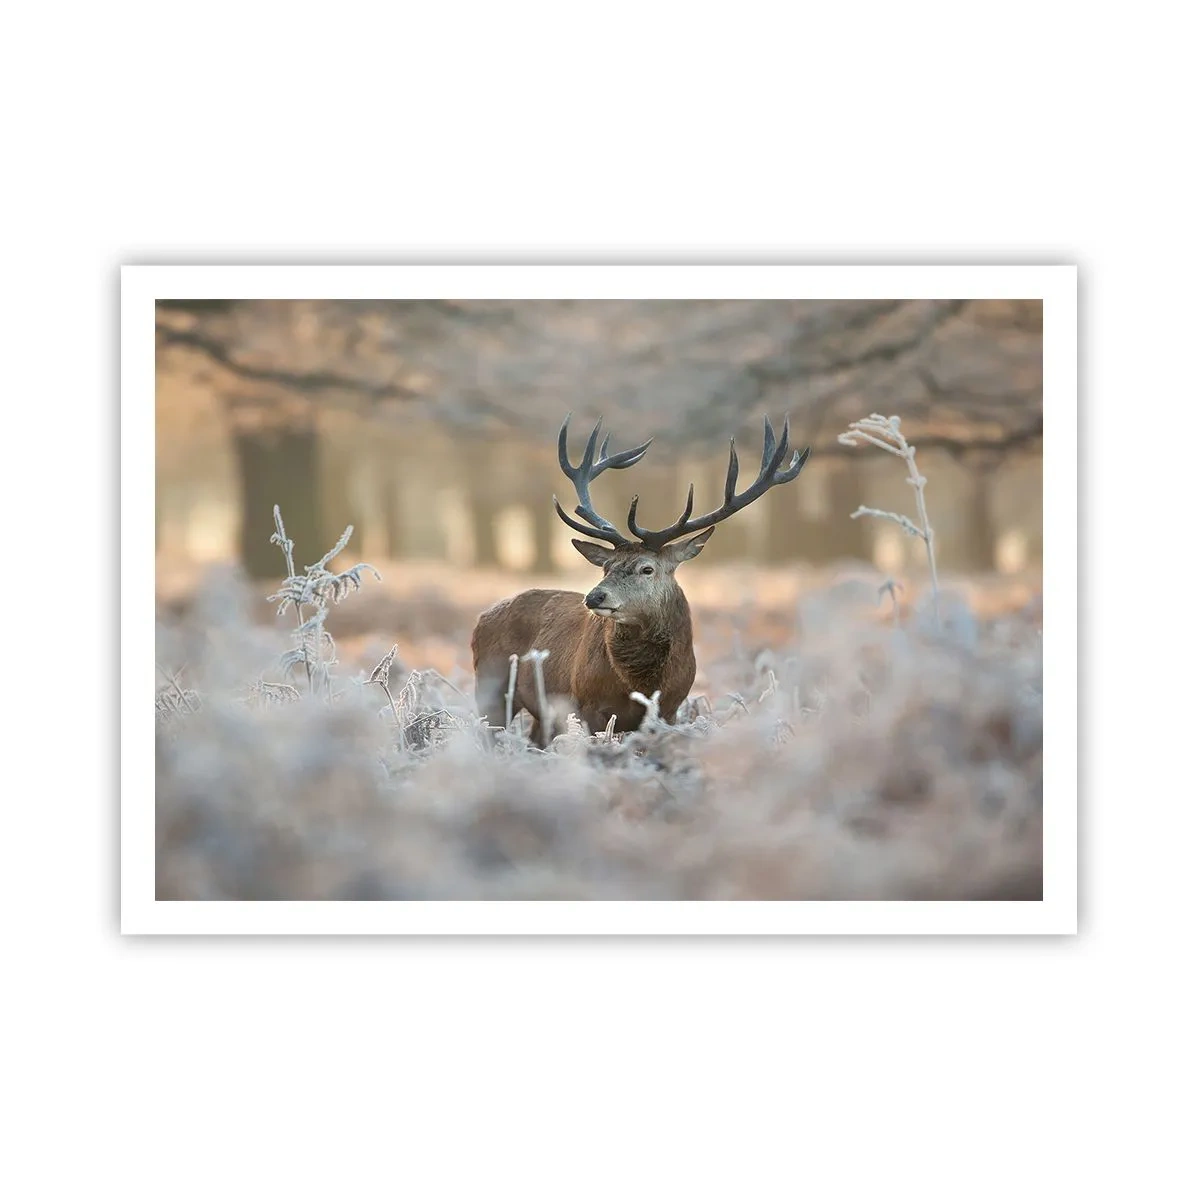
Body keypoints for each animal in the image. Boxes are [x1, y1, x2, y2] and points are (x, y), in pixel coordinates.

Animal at [471, 413, 811, 745]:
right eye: (606, 567)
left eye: (647, 569)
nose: (594, 597)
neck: (641, 684)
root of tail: (482, 617)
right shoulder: (587, 705)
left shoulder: (670, 709)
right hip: (490, 685)